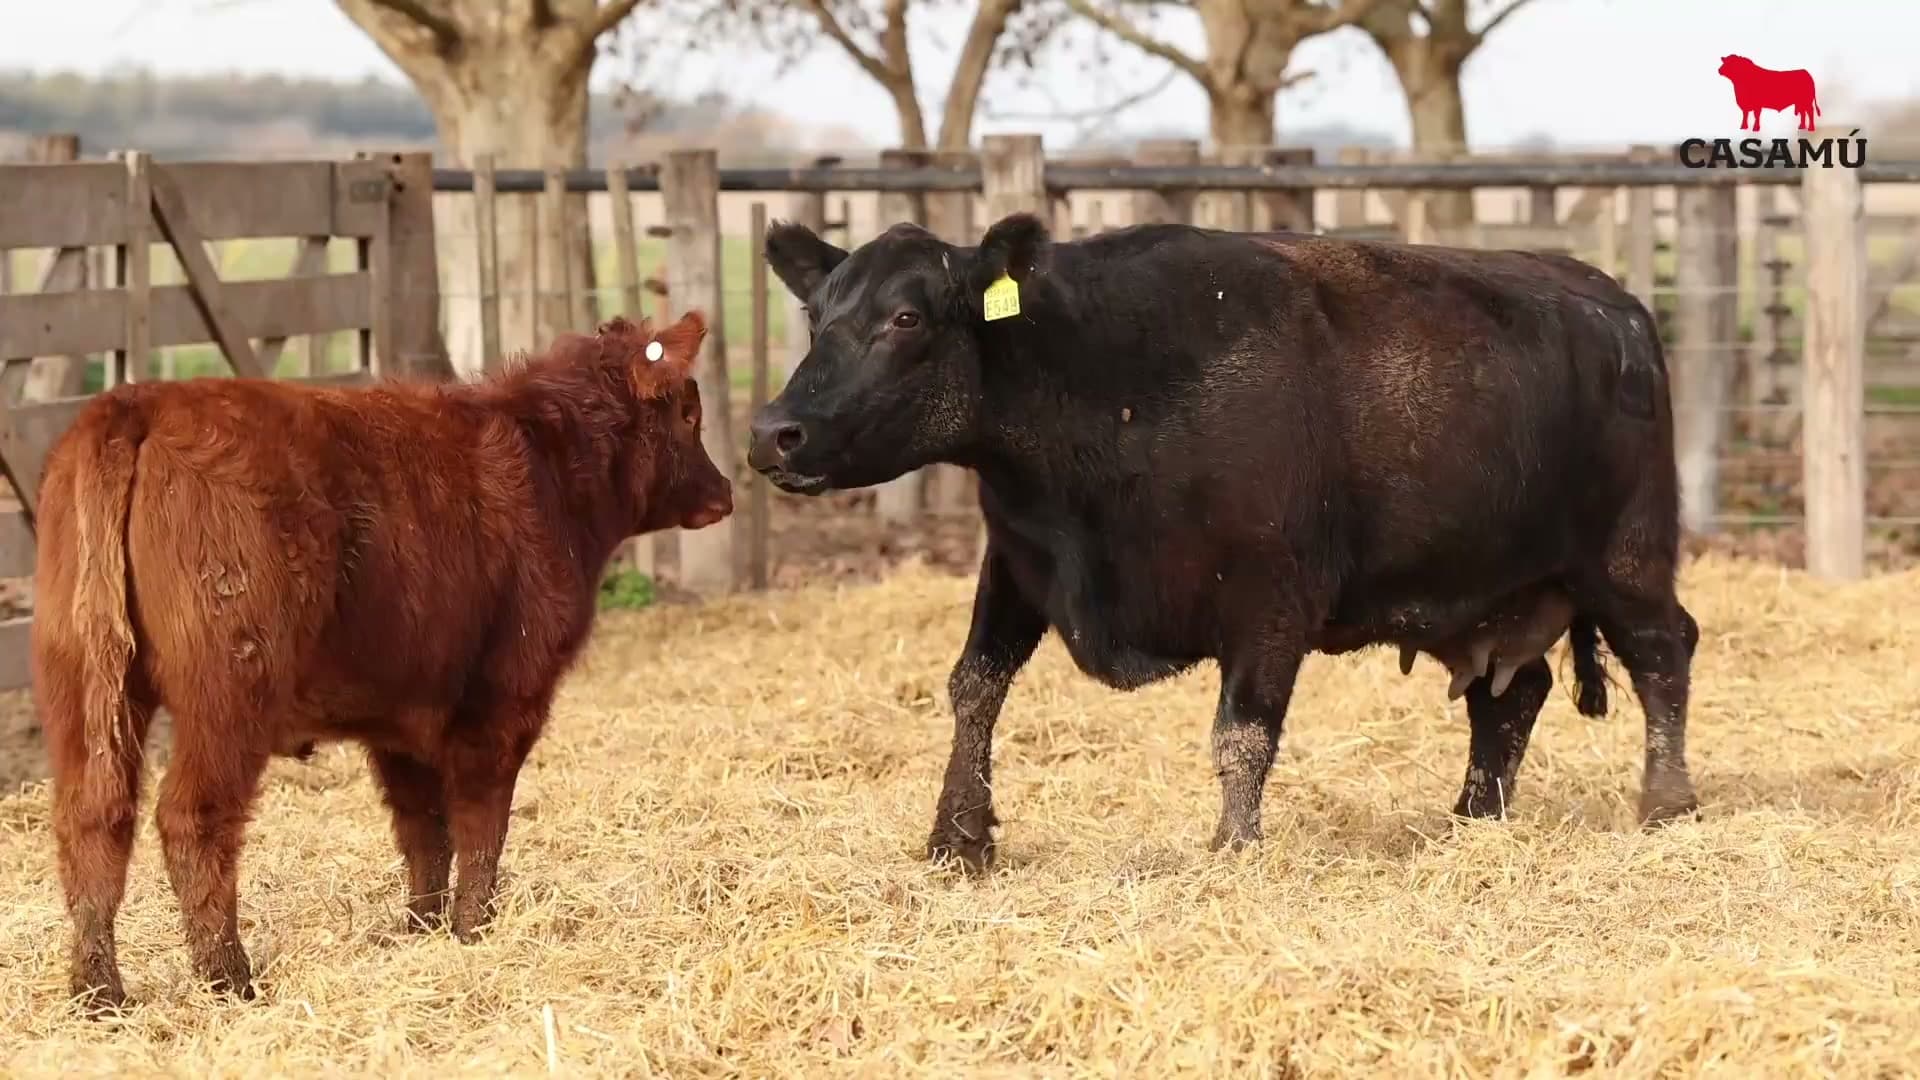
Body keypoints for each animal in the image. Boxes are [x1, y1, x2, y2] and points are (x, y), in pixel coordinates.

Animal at [35, 313, 732, 1014]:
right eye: (689, 412)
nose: (725, 490)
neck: (551, 467)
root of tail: (138, 401)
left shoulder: (403, 716)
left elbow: (423, 826)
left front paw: (422, 928)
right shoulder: (503, 701)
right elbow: (480, 822)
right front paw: (473, 929)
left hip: (83, 686)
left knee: (93, 815)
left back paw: (99, 993)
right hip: (228, 693)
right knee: (190, 818)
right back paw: (229, 978)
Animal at [748, 214, 1702, 874]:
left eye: (907, 318)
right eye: (816, 316)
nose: (773, 433)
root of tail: (1614, 300)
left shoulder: (1273, 596)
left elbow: (1242, 732)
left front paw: (1233, 851)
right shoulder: (1017, 564)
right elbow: (974, 688)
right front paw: (958, 836)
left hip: (1625, 555)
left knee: (1663, 650)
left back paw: (1667, 803)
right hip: (1489, 588)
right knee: (1511, 694)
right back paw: (1473, 816)